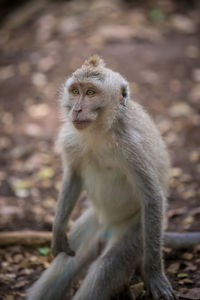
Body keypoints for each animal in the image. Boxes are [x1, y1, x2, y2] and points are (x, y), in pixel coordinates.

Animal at [27, 55, 200, 298]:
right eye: (75, 91)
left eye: (91, 93)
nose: (77, 109)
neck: (99, 131)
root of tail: (108, 227)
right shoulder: (70, 136)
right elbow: (74, 175)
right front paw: (58, 231)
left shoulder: (132, 146)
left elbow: (152, 197)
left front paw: (155, 275)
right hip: (94, 219)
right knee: (65, 263)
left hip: (137, 232)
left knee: (106, 267)